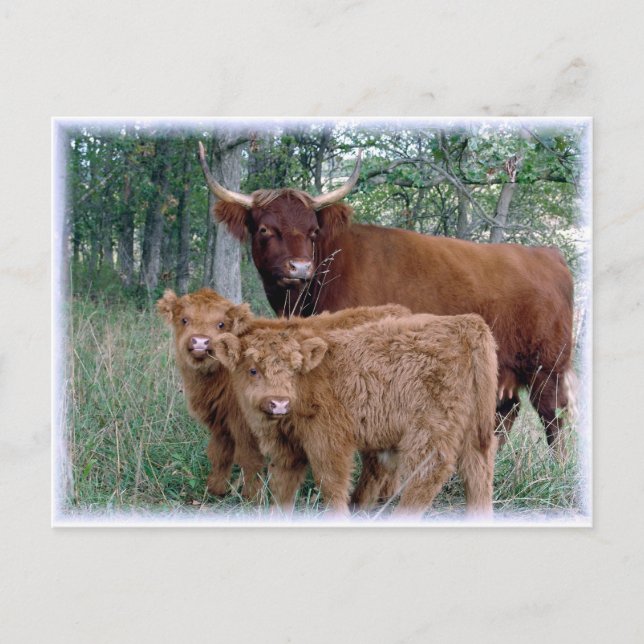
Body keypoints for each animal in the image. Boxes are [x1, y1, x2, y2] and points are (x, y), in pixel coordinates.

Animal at [198, 142, 575, 459]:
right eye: (265, 229)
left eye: (313, 231)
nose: (301, 267)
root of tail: (548, 255)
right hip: (503, 370)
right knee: (506, 413)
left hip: (547, 366)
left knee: (552, 416)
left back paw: (556, 467)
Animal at [213, 313, 499, 518]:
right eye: (252, 370)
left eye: (295, 368)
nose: (279, 402)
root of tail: (464, 322)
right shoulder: (286, 448)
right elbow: (282, 488)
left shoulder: (329, 441)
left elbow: (331, 484)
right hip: (473, 430)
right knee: (478, 471)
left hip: (429, 429)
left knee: (429, 472)